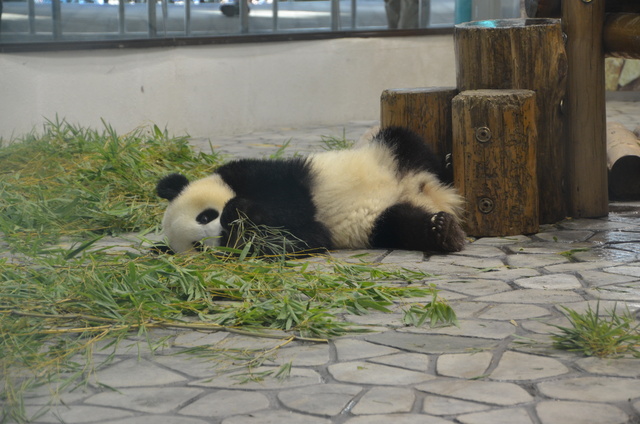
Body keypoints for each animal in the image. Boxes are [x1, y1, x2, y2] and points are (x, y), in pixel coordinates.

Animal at [155, 126, 464, 256]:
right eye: (197, 246)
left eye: (205, 217)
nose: (220, 232)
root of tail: (427, 193)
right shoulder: (309, 234)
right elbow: (296, 239)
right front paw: (242, 226)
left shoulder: (254, 174)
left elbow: (290, 200)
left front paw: (239, 212)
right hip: (377, 224)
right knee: (402, 225)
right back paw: (440, 230)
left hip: (387, 154)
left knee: (408, 143)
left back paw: (447, 167)